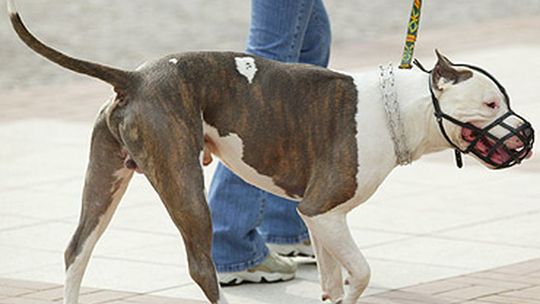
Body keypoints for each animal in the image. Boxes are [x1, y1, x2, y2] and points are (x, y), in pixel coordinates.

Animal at [6, 1, 532, 302]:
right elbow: (361, 273)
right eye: (491, 103)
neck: (399, 110)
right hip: (183, 185)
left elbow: (331, 281)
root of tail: (134, 77)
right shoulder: (322, 210)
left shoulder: (321, 220)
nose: (527, 137)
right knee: (201, 266)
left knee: (77, 251)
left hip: (106, 180)